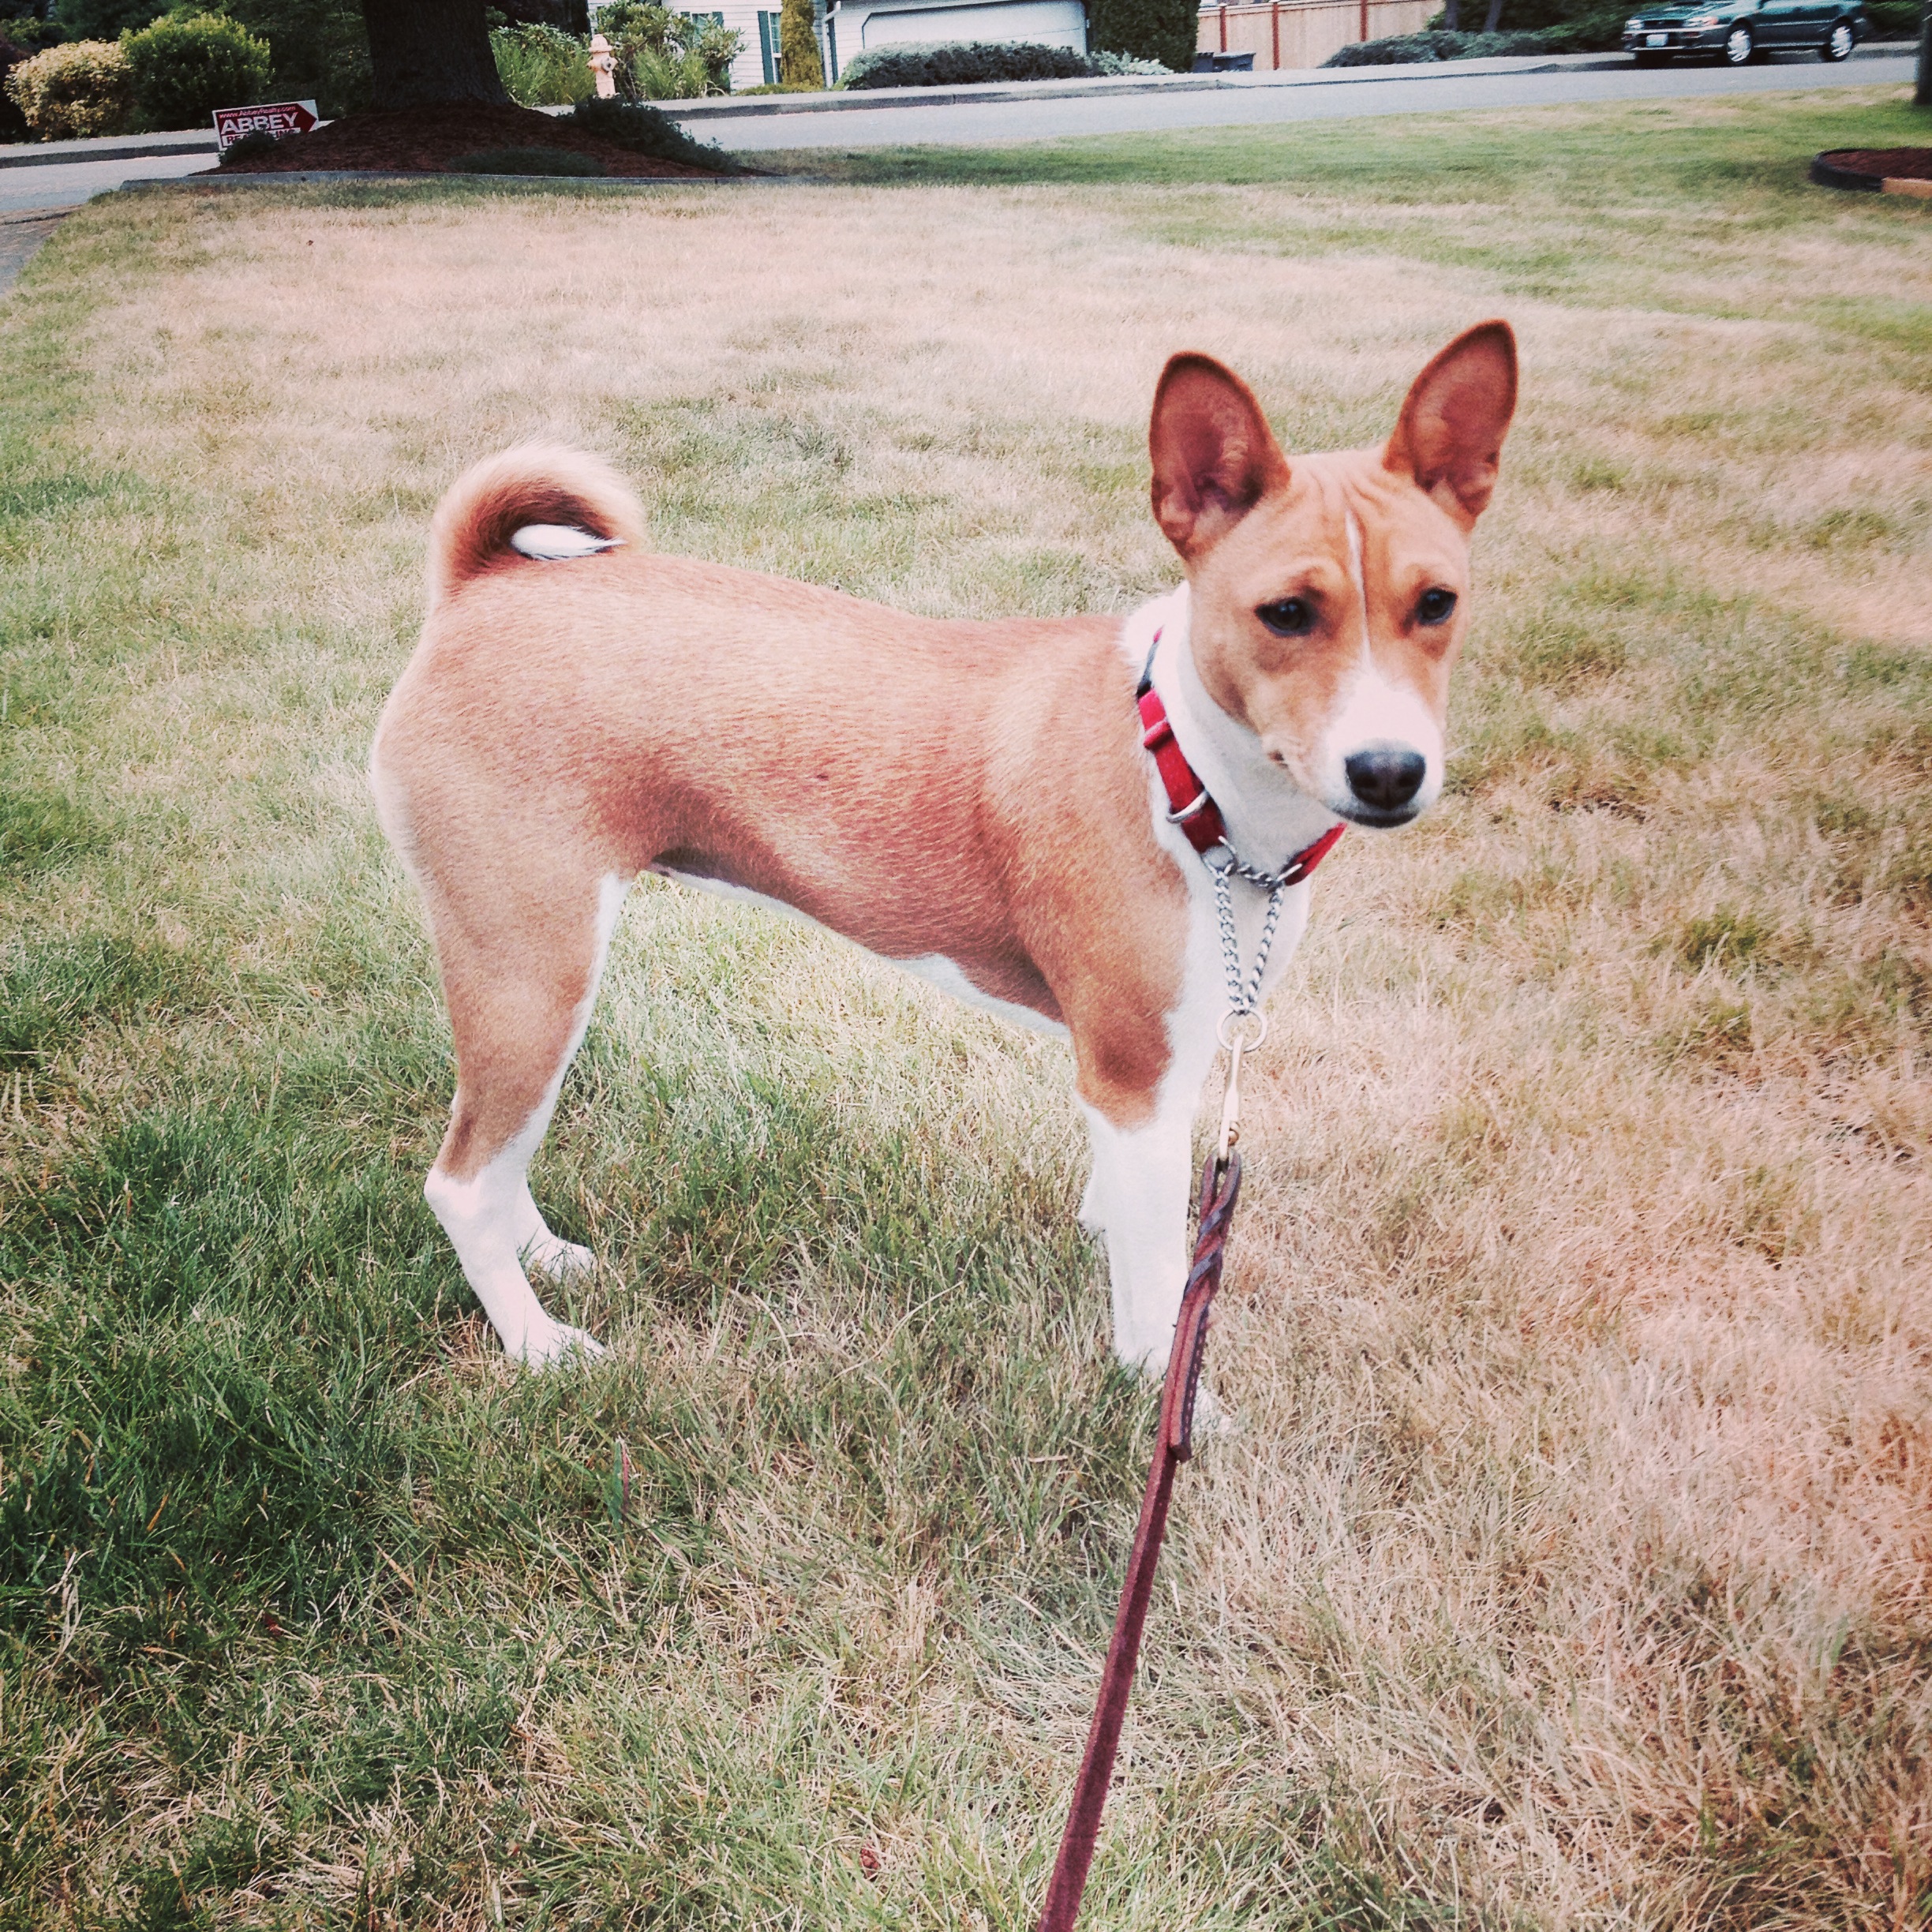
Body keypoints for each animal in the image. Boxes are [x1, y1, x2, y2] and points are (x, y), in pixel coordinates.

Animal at [370, 322, 1517, 1371]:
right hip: (532, 970)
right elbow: (1160, 1297)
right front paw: (1165, 1400)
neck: (1180, 769)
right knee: (461, 1180)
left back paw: (548, 1259)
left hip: (533, 984)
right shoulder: (1138, 1080)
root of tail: (483, 586)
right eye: (1284, 613)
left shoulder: (1155, 1080)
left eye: (1438, 604)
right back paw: (536, 1343)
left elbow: (1127, 1223)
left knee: (499, 1157)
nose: (1389, 769)